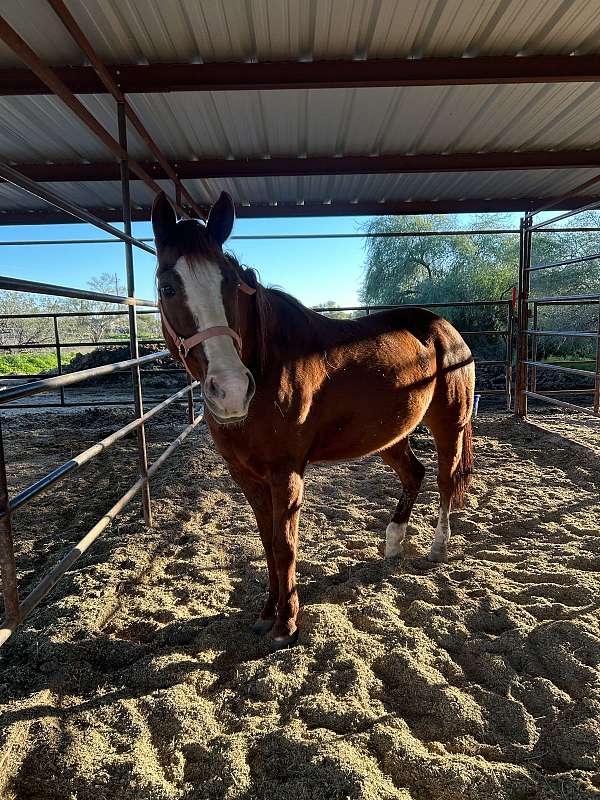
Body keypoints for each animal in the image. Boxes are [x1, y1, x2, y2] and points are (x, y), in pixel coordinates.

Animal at [152, 191, 475, 649]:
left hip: (450, 425)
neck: (268, 365)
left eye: (230, 284)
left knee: (446, 481)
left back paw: (438, 548)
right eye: (167, 286)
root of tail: (444, 328)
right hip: (390, 436)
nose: (231, 390)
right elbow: (267, 542)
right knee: (415, 474)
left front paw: (286, 624)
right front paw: (266, 614)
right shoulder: (246, 475)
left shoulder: (286, 472)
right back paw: (394, 543)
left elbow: (285, 544)